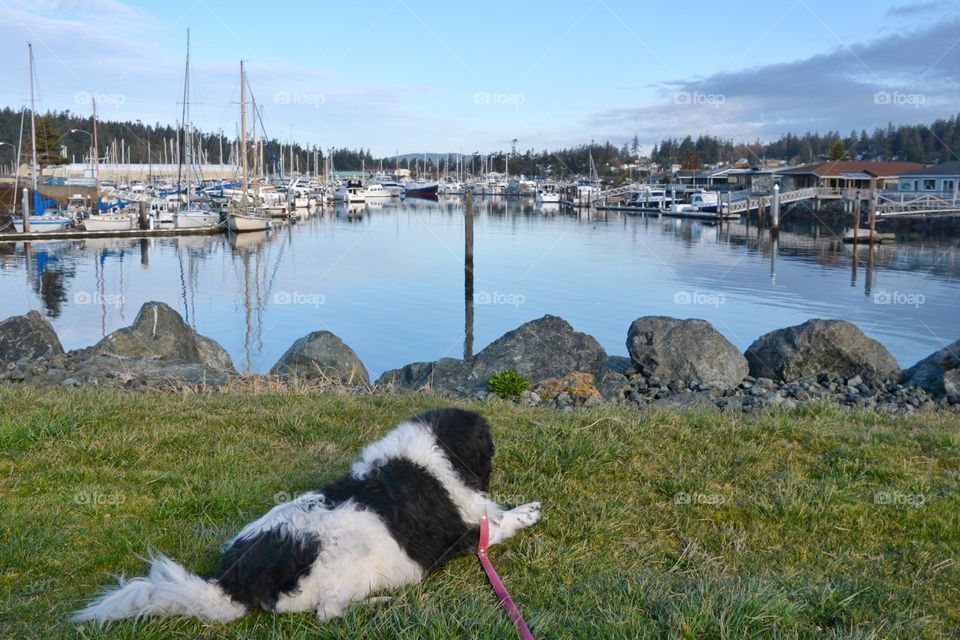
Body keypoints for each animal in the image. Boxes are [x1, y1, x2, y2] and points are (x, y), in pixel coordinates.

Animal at [75, 408, 540, 624]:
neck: (429, 456)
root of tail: (231, 583)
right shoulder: (466, 535)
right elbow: (501, 523)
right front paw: (529, 512)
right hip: (348, 565)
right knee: (329, 612)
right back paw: (378, 604)